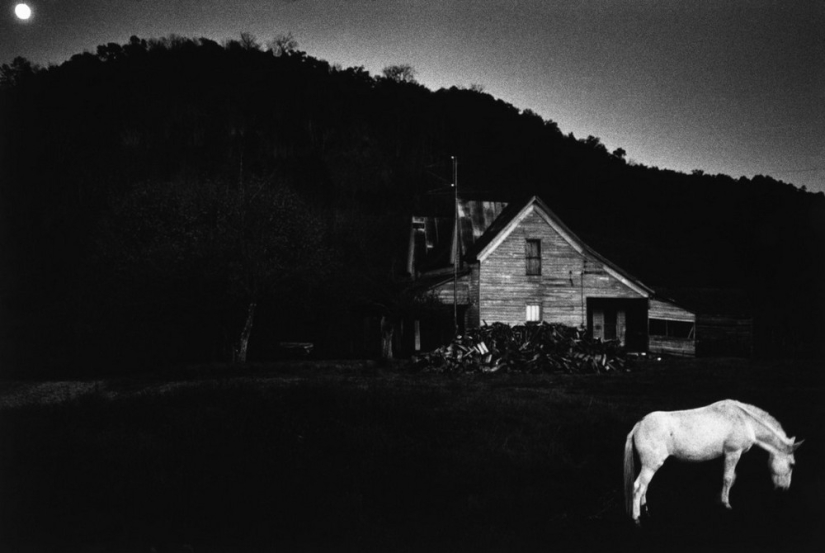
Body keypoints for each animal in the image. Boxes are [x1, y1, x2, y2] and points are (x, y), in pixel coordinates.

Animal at [624, 398, 800, 524]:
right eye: (792, 465)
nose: (784, 489)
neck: (745, 419)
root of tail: (638, 425)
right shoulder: (733, 453)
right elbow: (728, 478)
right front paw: (726, 504)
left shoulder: (728, 455)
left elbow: (731, 478)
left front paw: (719, 499)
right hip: (651, 465)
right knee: (638, 487)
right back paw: (636, 517)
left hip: (649, 466)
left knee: (645, 486)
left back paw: (645, 510)